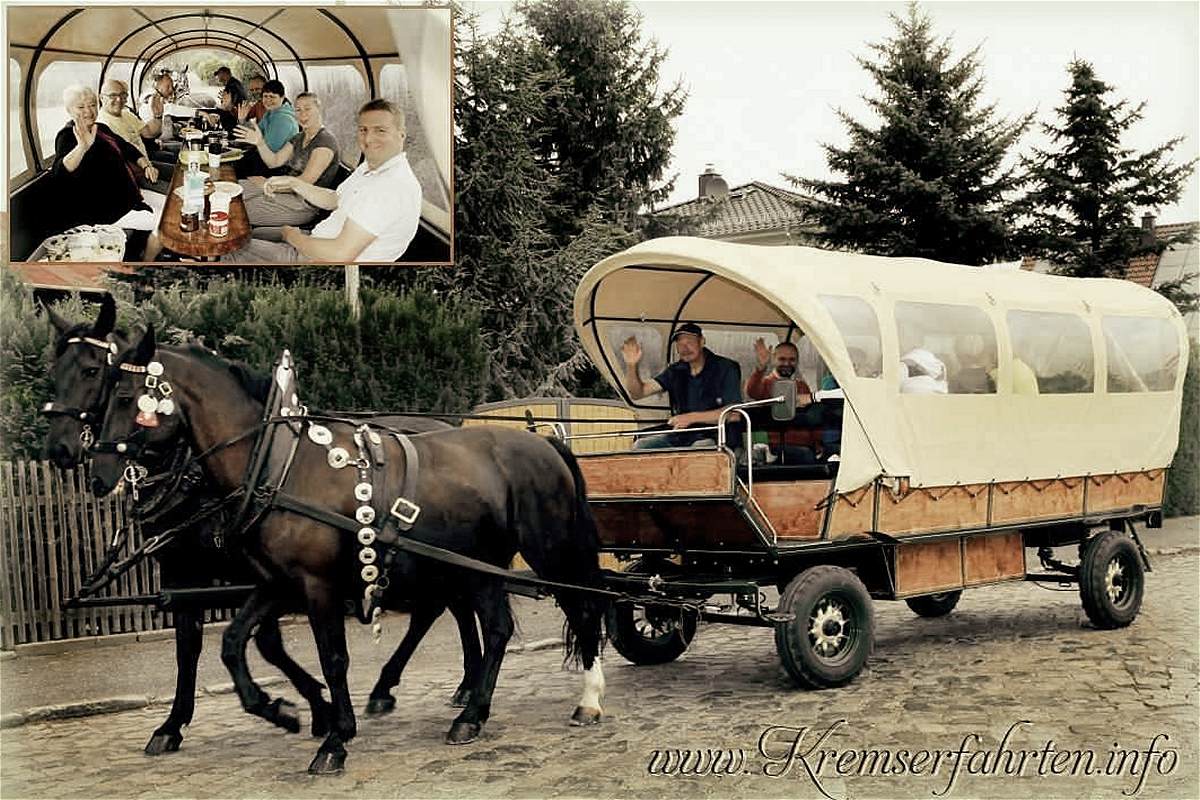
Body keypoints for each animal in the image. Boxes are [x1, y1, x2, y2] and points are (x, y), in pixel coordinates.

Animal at [43, 302, 482, 758]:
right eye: (55, 370)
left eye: (94, 372)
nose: (60, 449)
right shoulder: (193, 572)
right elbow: (200, 645)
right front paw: (178, 723)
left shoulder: (259, 574)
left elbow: (259, 643)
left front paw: (309, 709)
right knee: (449, 605)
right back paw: (448, 687)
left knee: (443, 606)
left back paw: (440, 688)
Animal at [90, 326, 609, 777]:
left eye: (123, 396)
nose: (97, 471)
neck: (279, 466)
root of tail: (546, 443)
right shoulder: (276, 582)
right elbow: (235, 642)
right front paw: (280, 710)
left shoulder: (316, 584)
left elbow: (332, 657)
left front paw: (335, 738)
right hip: (476, 566)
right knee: (497, 626)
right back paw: (472, 713)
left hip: (549, 549)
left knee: (582, 607)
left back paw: (587, 699)